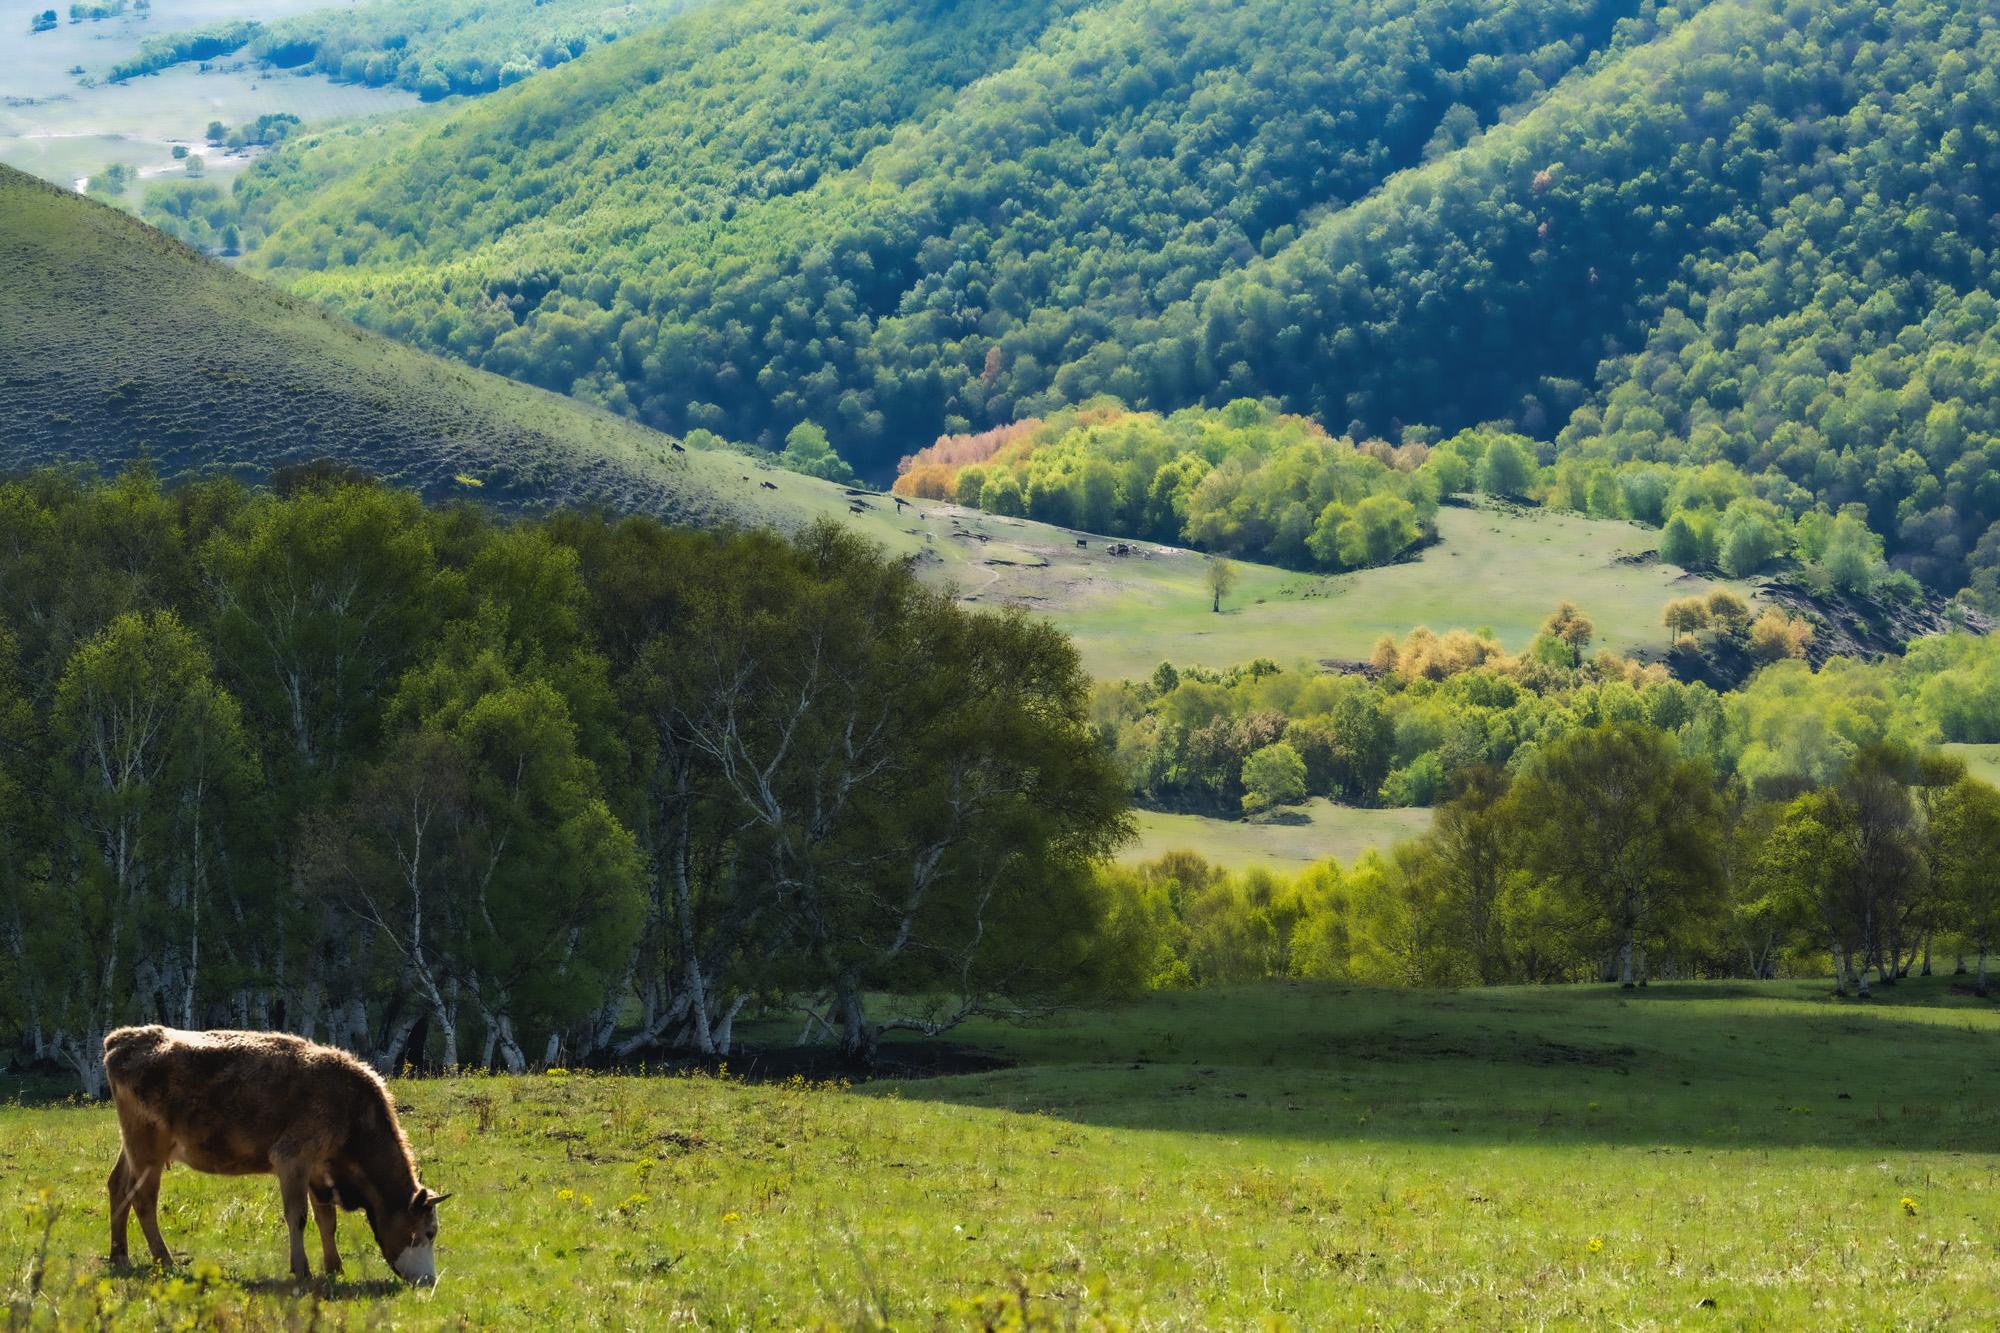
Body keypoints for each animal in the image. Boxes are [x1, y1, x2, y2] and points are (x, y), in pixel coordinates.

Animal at [102, 1020, 450, 1280]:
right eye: (429, 1231)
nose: (429, 1281)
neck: (351, 1107)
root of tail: (121, 1040)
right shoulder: (292, 1159)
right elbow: (298, 1216)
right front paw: (302, 1270)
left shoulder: (318, 1170)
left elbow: (327, 1219)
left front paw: (334, 1267)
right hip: (147, 1150)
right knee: (143, 1199)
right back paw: (165, 1260)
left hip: (132, 1147)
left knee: (118, 1186)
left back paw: (119, 1256)